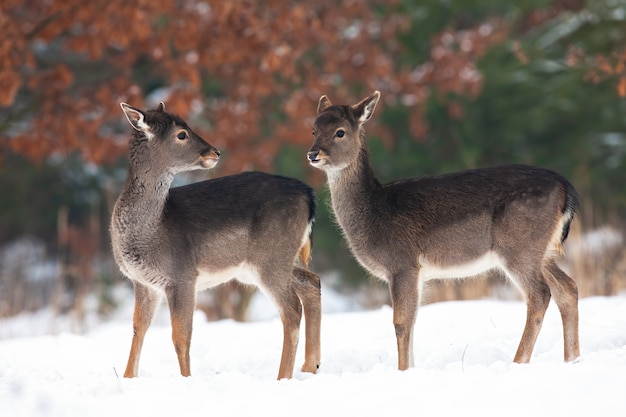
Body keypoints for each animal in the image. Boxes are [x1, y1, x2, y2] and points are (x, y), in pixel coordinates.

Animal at [109, 102, 320, 378]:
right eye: (181, 134)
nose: (215, 152)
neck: (152, 231)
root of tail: (309, 196)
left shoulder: (182, 275)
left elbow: (180, 336)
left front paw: (186, 379)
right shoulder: (143, 282)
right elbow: (138, 329)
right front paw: (128, 378)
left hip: (270, 258)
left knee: (292, 309)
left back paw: (283, 376)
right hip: (273, 261)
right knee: (312, 282)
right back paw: (310, 366)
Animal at [308, 90, 580, 368]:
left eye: (340, 132)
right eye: (314, 130)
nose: (313, 154)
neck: (374, 212)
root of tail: (566, 189)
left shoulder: (402, 263)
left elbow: (401, 322)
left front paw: (403, 370)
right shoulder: (415, 272)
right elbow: (413, 321)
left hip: (518, 246)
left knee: (540, 294)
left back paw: (519, 362)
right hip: (542, 251)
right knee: (568, 288)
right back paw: (572, 360)